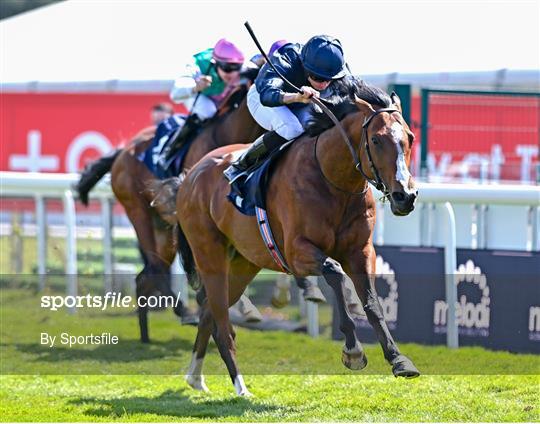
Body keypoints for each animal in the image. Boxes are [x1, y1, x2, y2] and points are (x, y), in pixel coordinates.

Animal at [161, 78, 422, 396]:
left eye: (410, 137)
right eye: (376, 140)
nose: (405, 196)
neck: (332, 178)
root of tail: (190, 175)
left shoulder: (361, 251)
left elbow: (373, 303)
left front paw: (399, 360)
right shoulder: (297, 253)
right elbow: (335, 272)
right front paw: (353, 350)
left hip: (244, 262)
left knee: (209, 311)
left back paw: (196, 377)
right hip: (210, 257)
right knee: (222, 324)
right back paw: (240, 387)